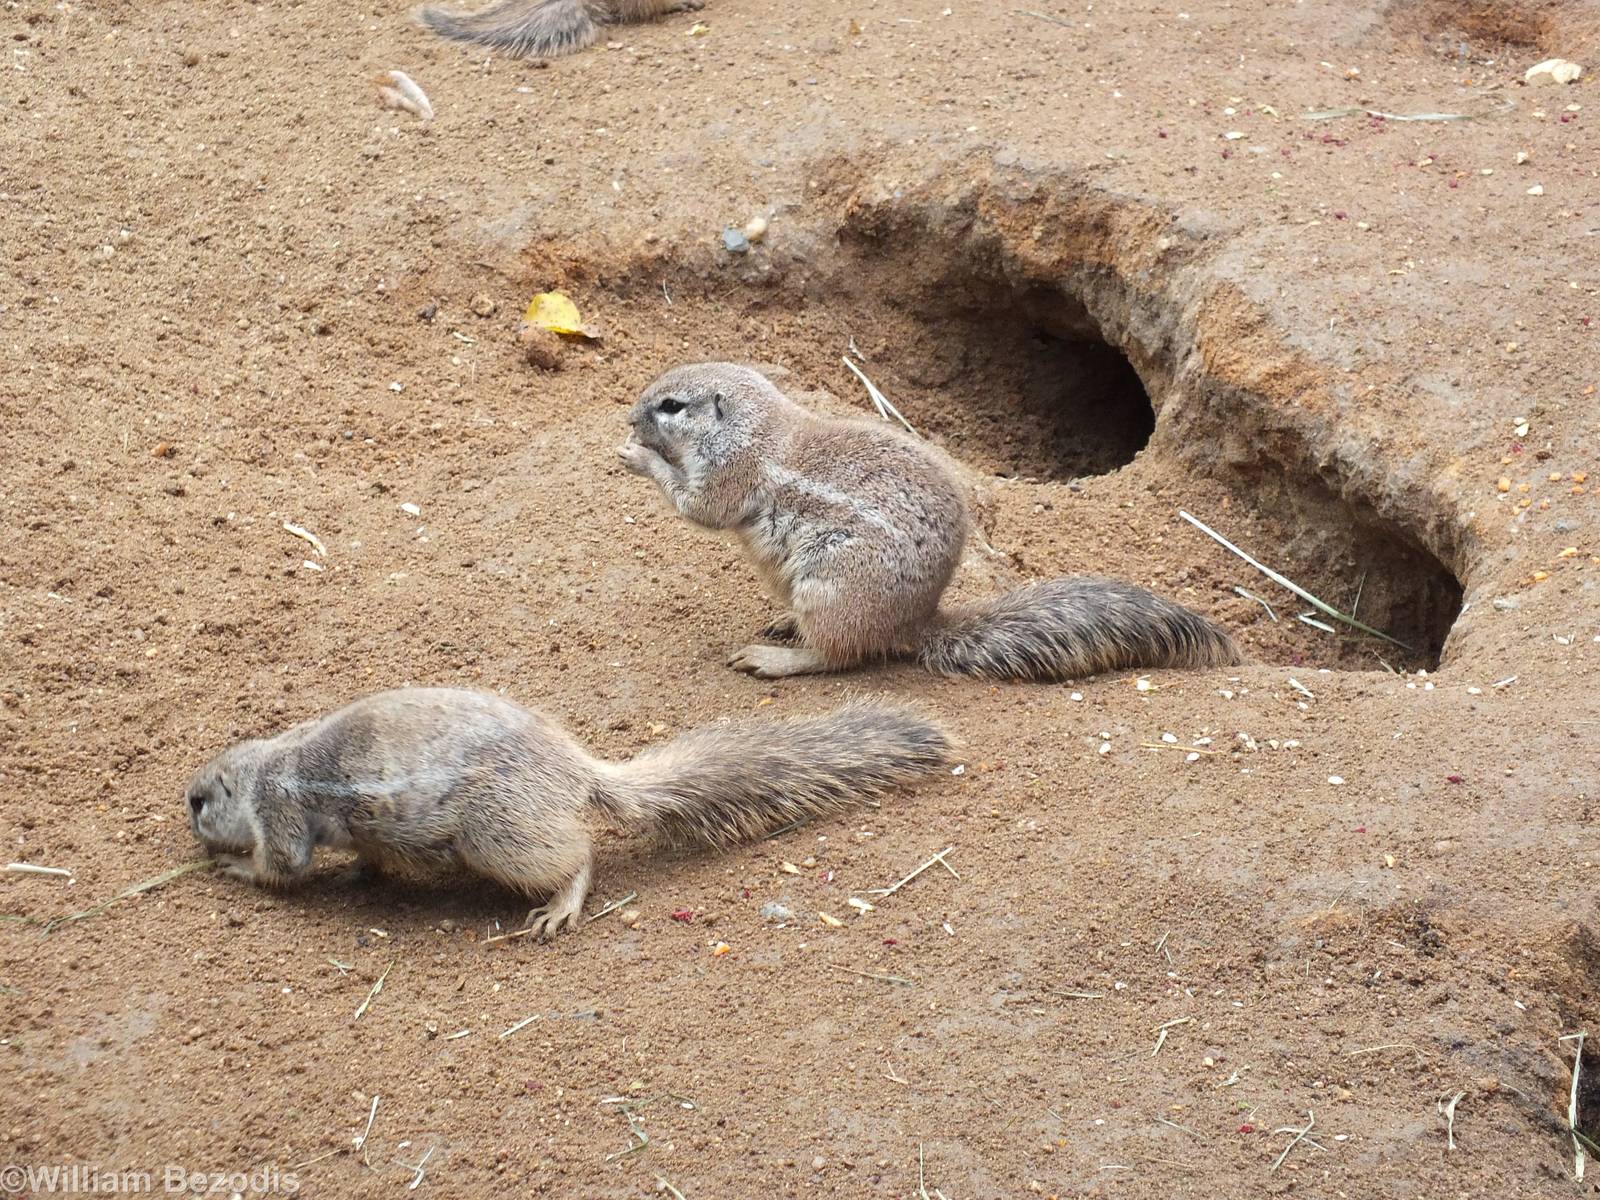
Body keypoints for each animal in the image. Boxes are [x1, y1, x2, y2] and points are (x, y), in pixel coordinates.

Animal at [185, 687, 950, 938]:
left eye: (200, 802)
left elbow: (283, 866)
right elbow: (366, 859)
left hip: (498, 835)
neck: (263, 764)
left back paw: (560, 906)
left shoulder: (279, 810)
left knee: (578, 854)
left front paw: (234, 868)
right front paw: (355, 877)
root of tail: (578, 770)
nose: (186, 811)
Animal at [618, 362, 1243, 681]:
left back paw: (773, 657)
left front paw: (639, 456)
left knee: (837, 656)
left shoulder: (732, 473)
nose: (628, 416)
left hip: (832, 585)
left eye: (672, 405)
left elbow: (700, 508)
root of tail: (918, 621)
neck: (756, 426)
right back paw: (783, 624)